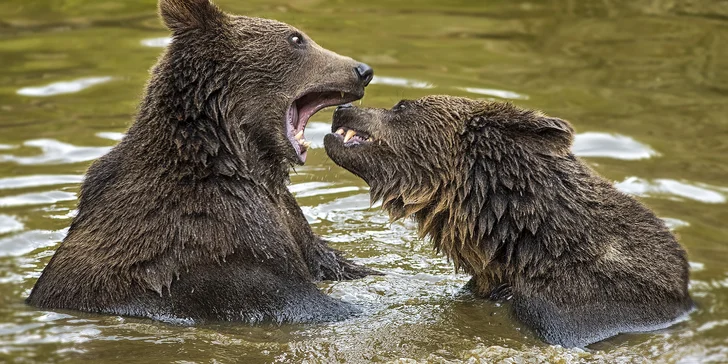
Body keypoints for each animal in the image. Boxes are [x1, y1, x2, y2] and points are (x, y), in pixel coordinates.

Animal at [25, 0, 378, 324]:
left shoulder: (286, 218)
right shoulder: (221, 239)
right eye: (295, 39)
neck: (237, 155)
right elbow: (288, 296)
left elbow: (331, 258)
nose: (363, 71)